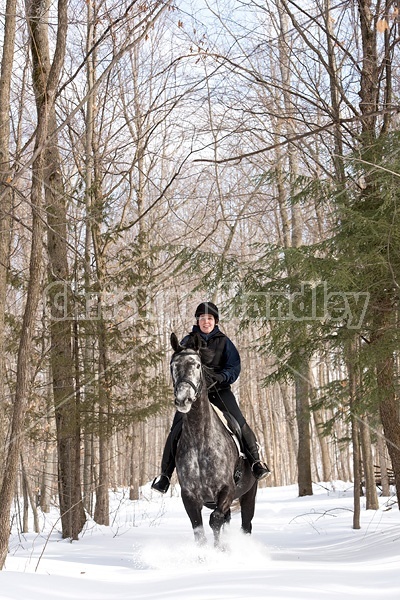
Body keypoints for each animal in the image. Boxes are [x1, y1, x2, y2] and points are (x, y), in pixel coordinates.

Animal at [170, 330, 258, 548]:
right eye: (173, 366)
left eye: (197, 365)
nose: (183, 399)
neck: (200, 440)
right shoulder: (189, 496)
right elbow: (199, 530)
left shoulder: (227, 490)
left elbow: (215, 521)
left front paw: (219, 550)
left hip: (249, 494)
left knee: (246, 525)